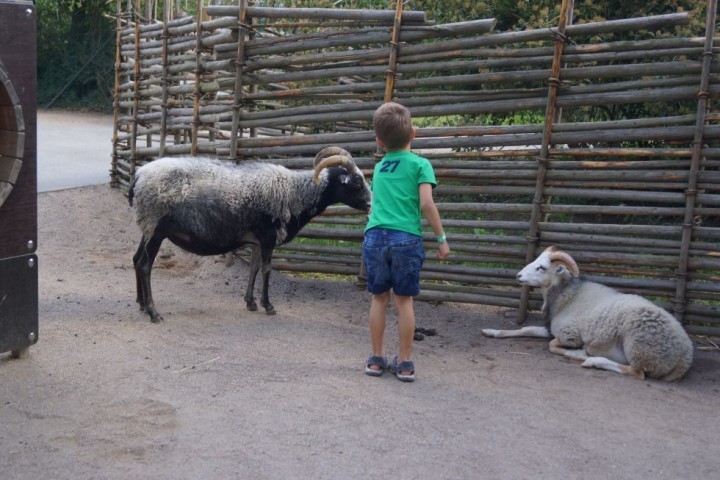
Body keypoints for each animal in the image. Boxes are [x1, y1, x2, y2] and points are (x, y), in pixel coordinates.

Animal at [480, 246, 696, 380]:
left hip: (639, 346)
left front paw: (578, 352)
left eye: (541, 267)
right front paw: (492, 332)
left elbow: (553, 346)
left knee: (636, 372)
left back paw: (592, 360)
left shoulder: (569, 334)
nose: (518, 276)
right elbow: (527, 329)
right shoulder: (551, 329)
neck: (568, 296)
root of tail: (684, 357)